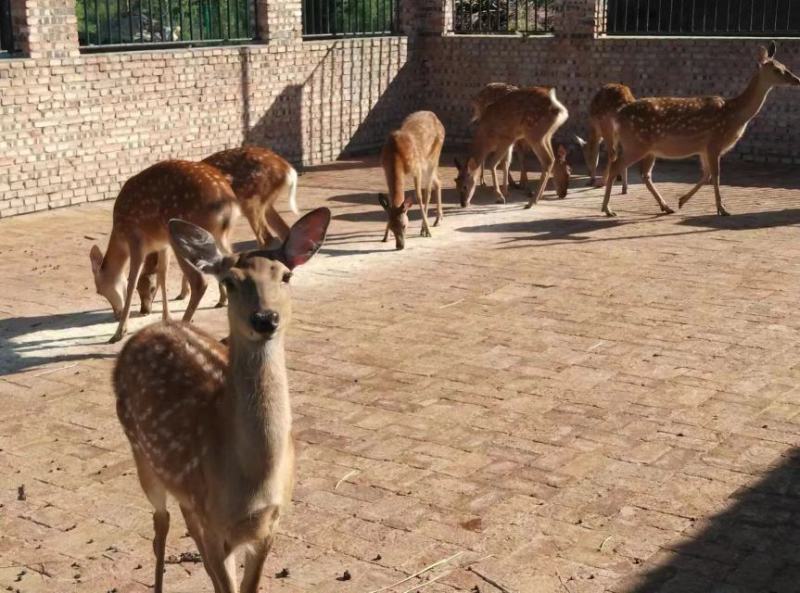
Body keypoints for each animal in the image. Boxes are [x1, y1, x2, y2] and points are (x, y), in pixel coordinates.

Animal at [90, 161, 239, 343]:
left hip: (185, 235)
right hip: (220, 236)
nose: (116, 314)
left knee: (200, 282)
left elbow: (131, 281)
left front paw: (120, 332)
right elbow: (162, 275)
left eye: (99, 291)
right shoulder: (162, 245)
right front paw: (166, 318)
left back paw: (184, 326)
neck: (120, 237)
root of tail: (228, 205)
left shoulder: (136, 240)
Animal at [114, 207, 330, 593]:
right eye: (230, 281)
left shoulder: (270, 525)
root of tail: (148, 330)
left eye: (286, 276)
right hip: (140, 451)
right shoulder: (214, 520)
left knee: (183, 521)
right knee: (160, 522)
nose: (265, 318)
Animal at [137, 146, 300, 312]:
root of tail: (288, 169)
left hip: (252, 201)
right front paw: (183, 293)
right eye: (138, 289)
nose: (144, 310)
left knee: (266, 239)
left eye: (151, 288)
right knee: (284, 231)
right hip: (266, 205)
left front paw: (217, 299)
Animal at [378, 111, 445, 250]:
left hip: (432, 158)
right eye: (391, 226)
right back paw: (438, 219)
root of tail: (436, 118)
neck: (396, 155)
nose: (400, 246)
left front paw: (427, 231)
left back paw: (425, 228)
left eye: (404, 225)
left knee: (428, 192)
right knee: (438, 182)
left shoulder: (416, 168)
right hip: (428, 164)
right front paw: (385, 237)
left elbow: (419, 197)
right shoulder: (385, 169)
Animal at [602, 42, 800, 218]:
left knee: (645, 174)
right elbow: (716, 175)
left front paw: (682, 201)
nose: (797, 80)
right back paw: (607, 209)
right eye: (777, 70)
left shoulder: (704, 148)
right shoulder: (714, 142)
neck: (734, 115)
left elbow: (706, 175)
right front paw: (722, 209)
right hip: (636, 143)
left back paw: (666, 207)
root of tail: (619, 114)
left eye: (784, 66)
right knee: (616, 165)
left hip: (649, 149)